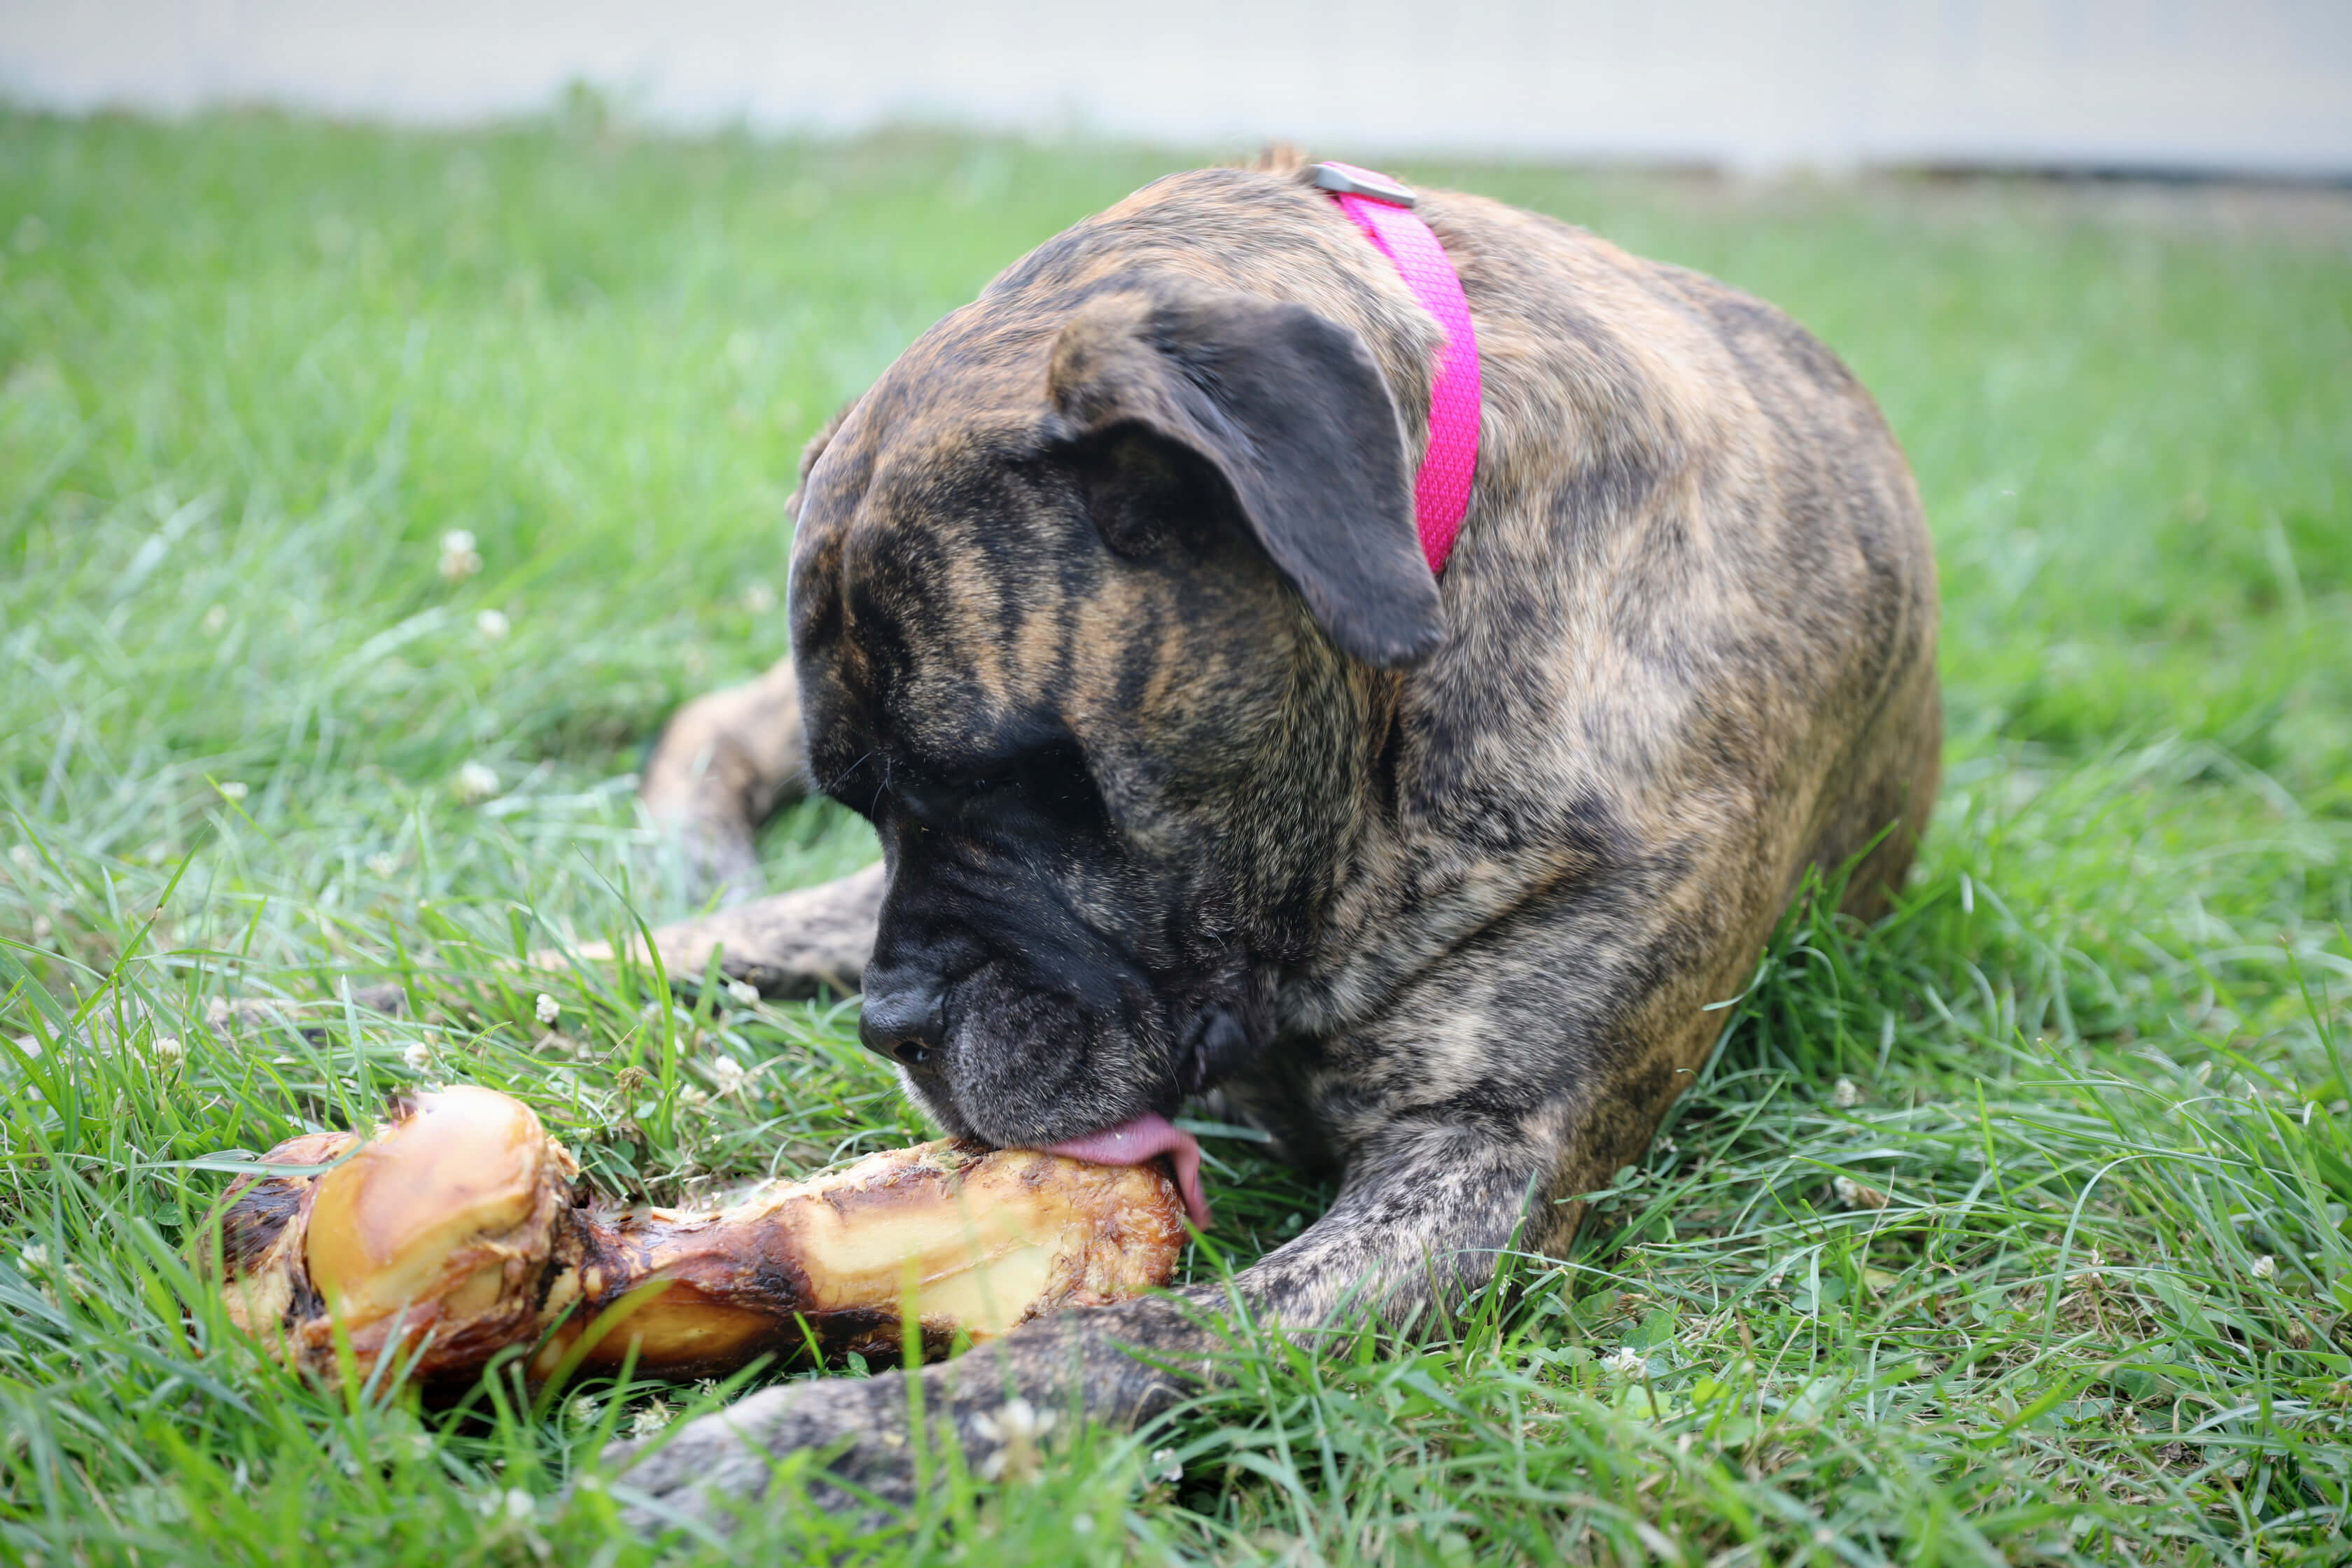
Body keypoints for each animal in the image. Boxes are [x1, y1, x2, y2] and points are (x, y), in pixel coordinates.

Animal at [616, 156, 1938, 1523]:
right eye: (865, 808)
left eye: (1007, 781)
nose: (892, 1026)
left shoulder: (1484, 1159)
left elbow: (1139, 1334)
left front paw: (820, 1448)